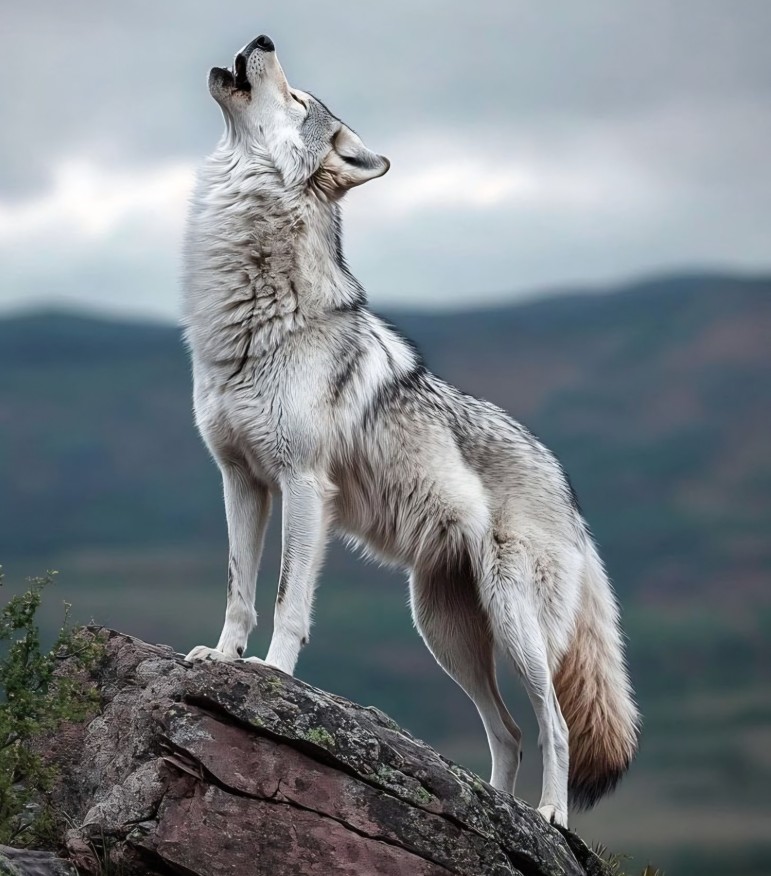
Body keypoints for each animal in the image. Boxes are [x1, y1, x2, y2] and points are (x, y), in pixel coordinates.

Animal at [182, 34, 639, 827]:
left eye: (299, 99)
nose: (263, 39)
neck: (252, 313)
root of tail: (568, 486)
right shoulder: (240, 480)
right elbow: (241, 587)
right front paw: (221, 659)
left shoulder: (303, 485)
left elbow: (288, 602)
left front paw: (271, 678)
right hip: (443, 628)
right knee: (508, 730)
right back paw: (495, 808)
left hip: (513, 621)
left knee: (552, 722)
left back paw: (549, 817)